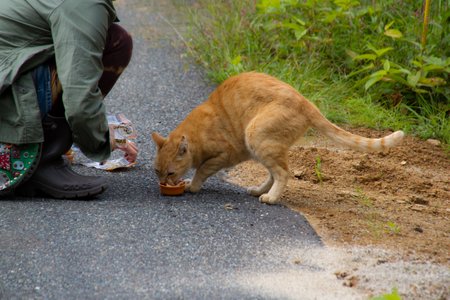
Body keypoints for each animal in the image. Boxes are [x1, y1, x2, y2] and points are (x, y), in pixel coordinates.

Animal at [152, 72, 404, 204]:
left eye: (170, 173)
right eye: (157, 171)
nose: (163, 182)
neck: (197, 132)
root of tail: (306, 101)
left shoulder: (226, 155)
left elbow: (202, 169)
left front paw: (192, 186)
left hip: (255, 135)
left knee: (283, 172)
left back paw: (271, 198)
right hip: (261, 146)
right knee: (274, 173)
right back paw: (259, 191)